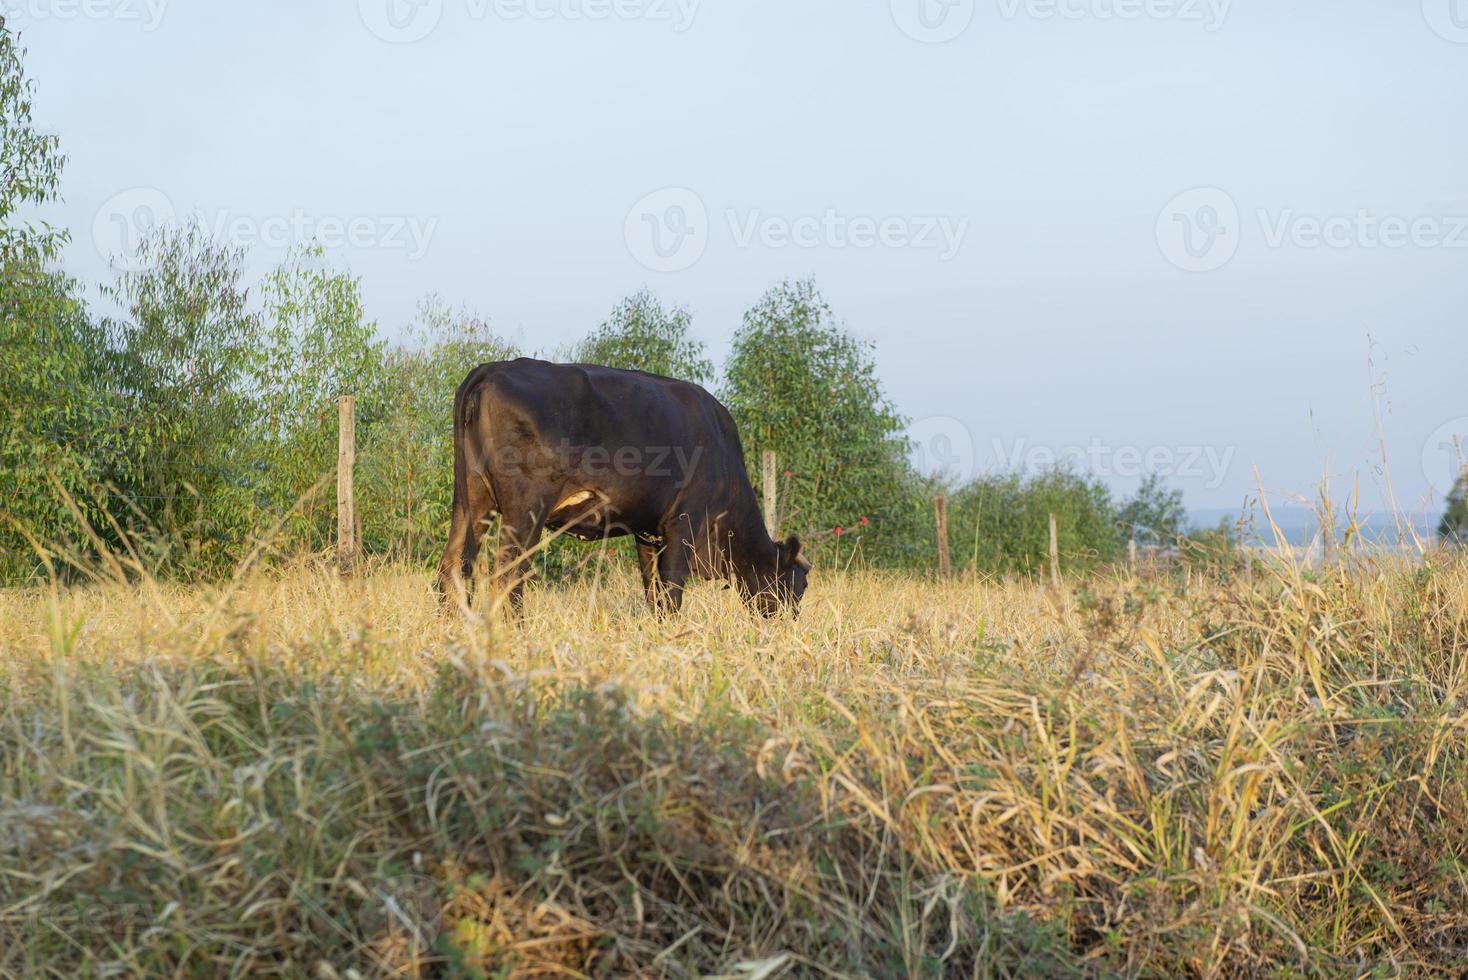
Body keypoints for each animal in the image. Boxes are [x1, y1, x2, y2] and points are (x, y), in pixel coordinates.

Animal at [431, 356, 816, 616]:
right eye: (798, 585)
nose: (789, 625)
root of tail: (493, 367)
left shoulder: (647, 530)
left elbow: (653, 589)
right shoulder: (686, 519)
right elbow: (672, 588)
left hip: (470, 500)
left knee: (452, 567)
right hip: (526, 507)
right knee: (509, 573)